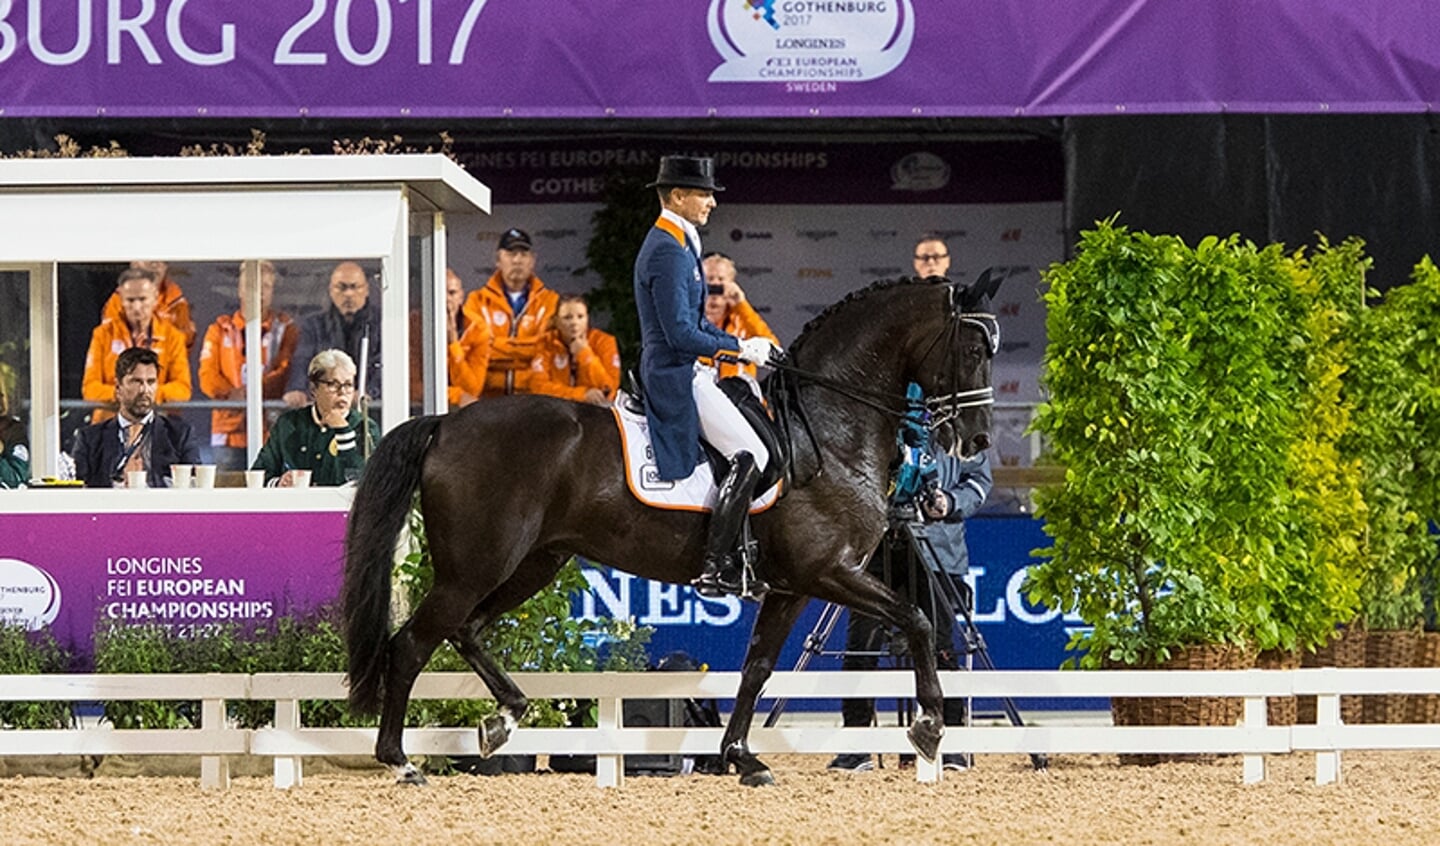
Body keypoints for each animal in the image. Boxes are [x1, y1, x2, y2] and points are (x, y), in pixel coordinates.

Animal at [345, 271, 1002, 788]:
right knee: (413, 643)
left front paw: (741, 757)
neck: (828, 429)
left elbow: (757, 668)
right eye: (973, 349)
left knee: (467, 630)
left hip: (533, 562)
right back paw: (401, 761)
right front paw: (929, 725)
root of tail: (446, 423)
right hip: (477, 566)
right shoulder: (829, 571)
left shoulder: (792, 587)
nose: (976, 440)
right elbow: (917, 620)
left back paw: (503, 717)